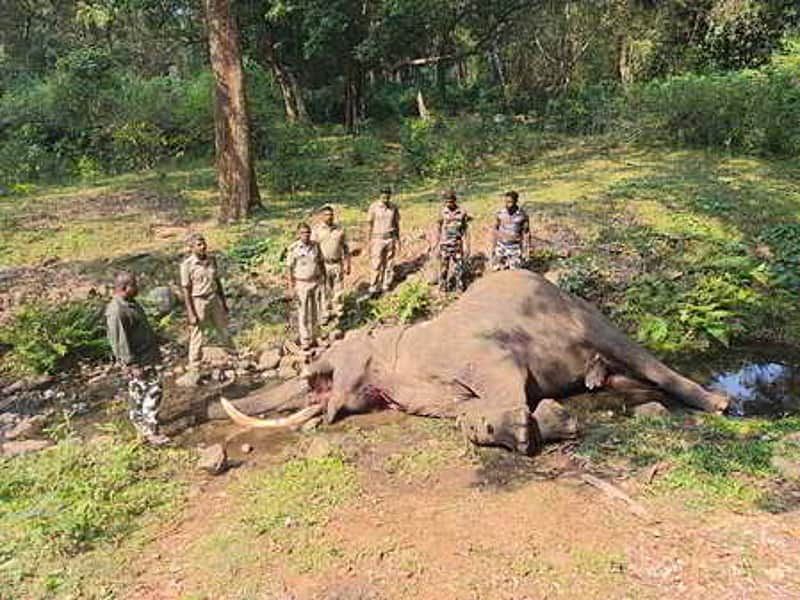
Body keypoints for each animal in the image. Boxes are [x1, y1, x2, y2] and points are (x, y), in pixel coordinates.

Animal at [210, 270, 729, 454]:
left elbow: (504, 376)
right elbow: (460, 411)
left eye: (323, 365)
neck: (394, 344)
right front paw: (523, 425)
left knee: (635, 353)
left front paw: (528, 426)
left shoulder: (479, 350)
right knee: (616, 377)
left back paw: (719, 404)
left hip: (584, 314)